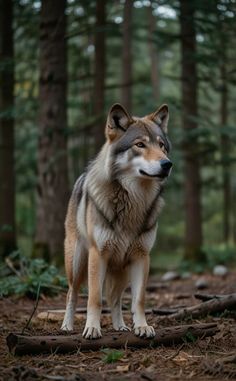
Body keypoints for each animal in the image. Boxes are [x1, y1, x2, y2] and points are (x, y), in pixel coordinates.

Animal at [60, 102, 171, 336]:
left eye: (162, 146)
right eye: (140, 145)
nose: (167, 164)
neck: (134, 200)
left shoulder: (141, 257)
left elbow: (138, 300)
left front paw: (143, 326)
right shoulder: (98, 255)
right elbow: (94, 298)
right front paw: (92, 329)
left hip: (121, 271)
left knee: (115, 298)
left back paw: (120, 326)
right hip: (76, 263)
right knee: (72, 293)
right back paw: (66, 326)